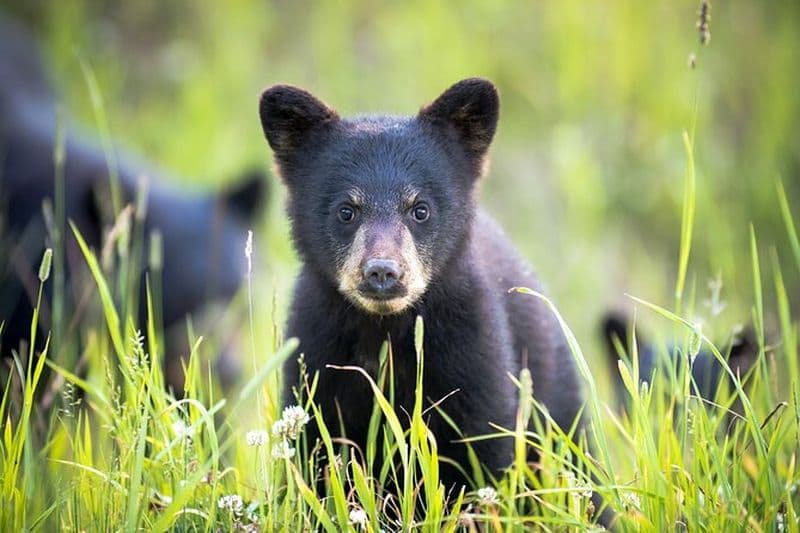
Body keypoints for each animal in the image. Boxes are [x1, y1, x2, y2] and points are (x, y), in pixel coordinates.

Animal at [258, 78, 601, 516]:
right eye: (346, 210)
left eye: (420, 209)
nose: (382, 272)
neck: (386, 332)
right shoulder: (318, 356)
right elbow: (317, 459)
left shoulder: (471, 353)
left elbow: (484, 453)